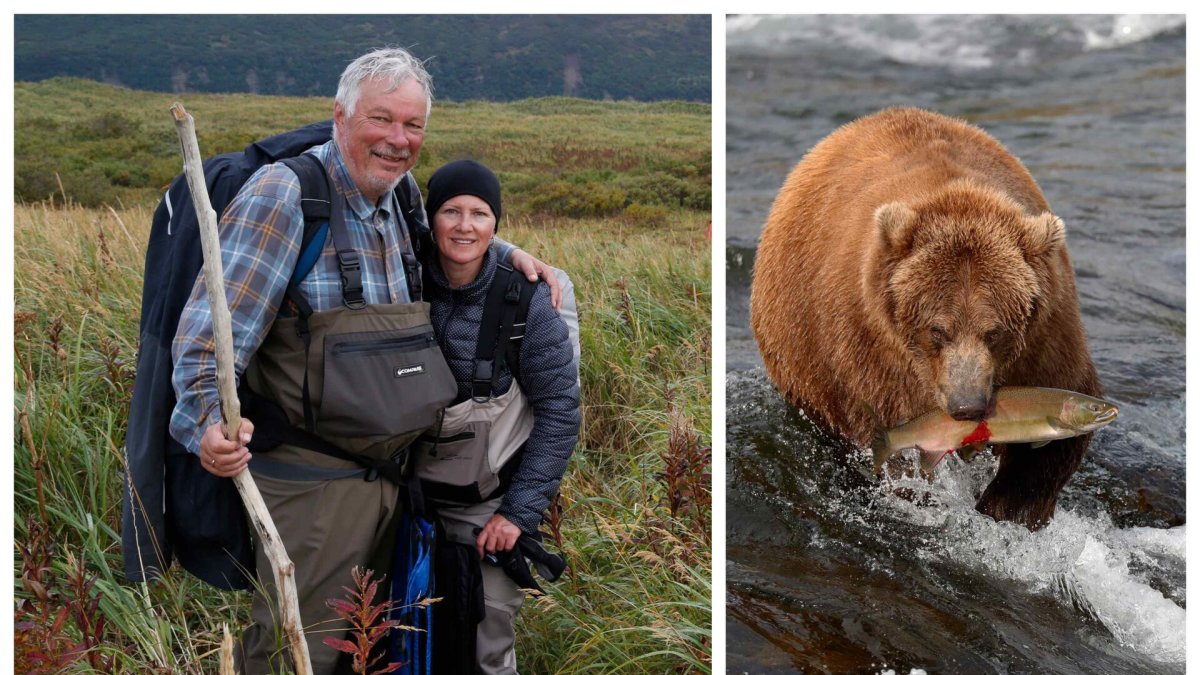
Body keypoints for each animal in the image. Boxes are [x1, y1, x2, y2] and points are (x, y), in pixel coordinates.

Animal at [753, 107, 1099, 528]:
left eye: (994, 332)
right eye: (937, 330)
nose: (967, 405)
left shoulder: (1047, 336)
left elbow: (1049, 450)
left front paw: (1008, 508)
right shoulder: (871, 348)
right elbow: (901, 441)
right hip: (808, 362)